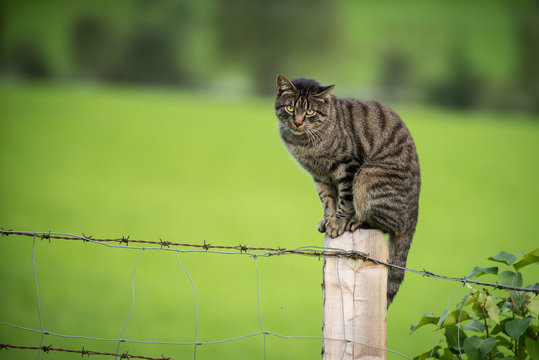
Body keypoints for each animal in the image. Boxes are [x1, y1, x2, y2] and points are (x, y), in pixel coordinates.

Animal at [274, 74, 422, 304]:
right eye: (290, 108)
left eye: (310, 112)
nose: (297, 122)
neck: (305, 142)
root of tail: (415, 213)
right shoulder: (321, 176)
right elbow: (327, 200)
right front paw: (328, 219)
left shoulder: (347, 166)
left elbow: (344, 199)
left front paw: (338, 223)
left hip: (367, 177)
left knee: (386, 223)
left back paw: (355, 221)